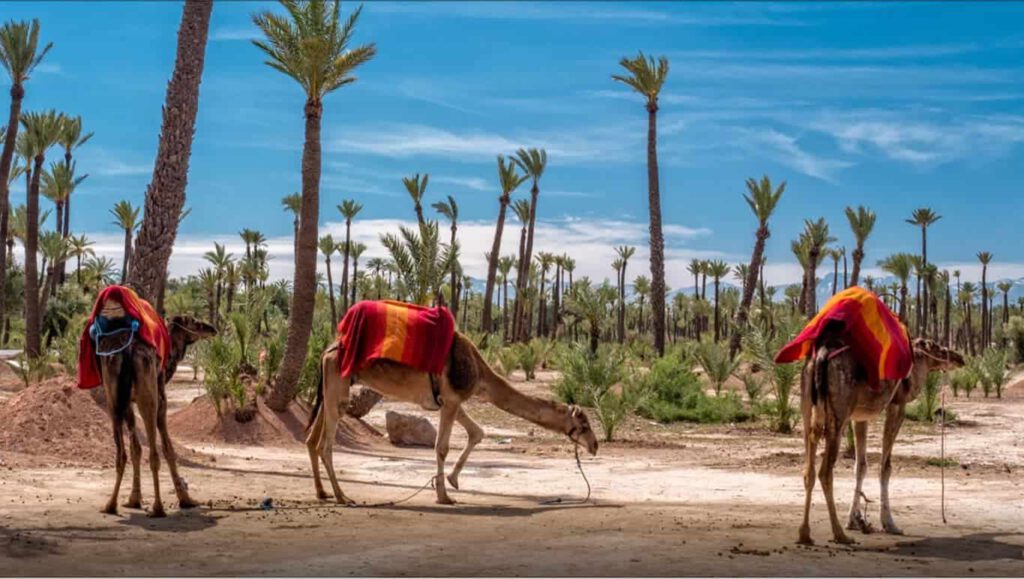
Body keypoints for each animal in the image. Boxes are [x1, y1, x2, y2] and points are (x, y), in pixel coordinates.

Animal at [96, 297, 218, 514]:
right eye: (193, 321)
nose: (212, 328)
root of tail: (128, 350)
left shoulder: (127, 403)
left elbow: (136, 449)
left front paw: (133, 499)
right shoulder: (162, 400)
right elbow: (168, 449)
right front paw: (186, 499)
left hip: (113, 398)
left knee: (121, 453)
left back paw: (110, 504)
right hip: (148, 395)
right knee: (154, 452)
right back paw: (158, 507)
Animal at [303, 332, 598, 504]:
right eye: (584, 424)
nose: (595, 445)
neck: (480, 372)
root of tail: (327, 350)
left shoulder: (452, 401)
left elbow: (477, 432)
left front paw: (452, 481)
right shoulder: (453, 399)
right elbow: (442, 446)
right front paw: (443, 495)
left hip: (330, 388)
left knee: (311, 439)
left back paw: (322, 492)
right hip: (338, 387)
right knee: (325, 444)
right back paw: (342, 496)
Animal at [798, 332, 966, 545]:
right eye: (936, 346)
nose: (959, 357)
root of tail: (820, 356)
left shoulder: (860, 416)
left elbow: (860, 466)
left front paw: (854, 520)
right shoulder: (897, 404)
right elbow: (885, 467)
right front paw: (890, 523)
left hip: (807, 408)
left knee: (808, 469)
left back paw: (804, 534)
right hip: (839, 413)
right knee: (825, 472)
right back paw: (839, 535)